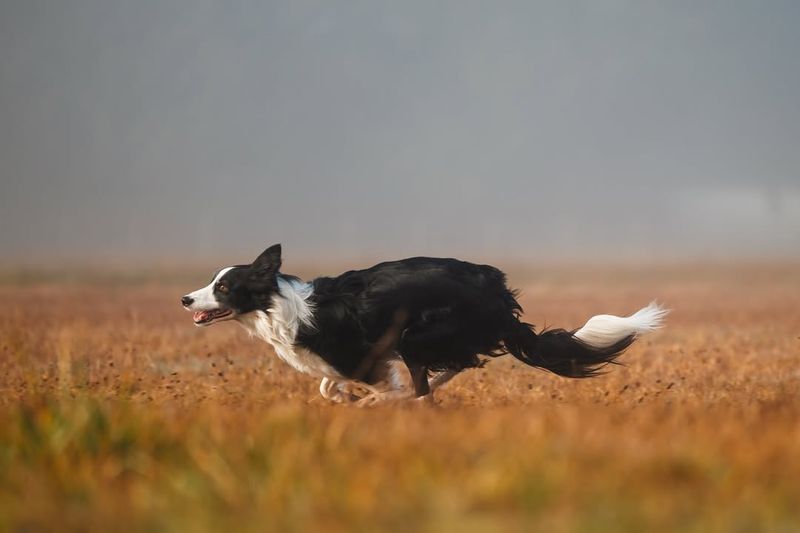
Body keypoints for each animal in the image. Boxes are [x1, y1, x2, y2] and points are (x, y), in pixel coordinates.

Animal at [183, 245, 668, 404]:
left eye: (224, 287)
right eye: (212, 281)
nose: (185, 298)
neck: (276, 305)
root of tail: (496, 292)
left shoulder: (364, 357)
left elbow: (371, 385)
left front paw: (370, 401)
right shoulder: (354, 360)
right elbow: (326, 384)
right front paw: (345, 397)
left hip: (416, 336)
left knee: (447, 370)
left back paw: (414, 400)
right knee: (462, 364)